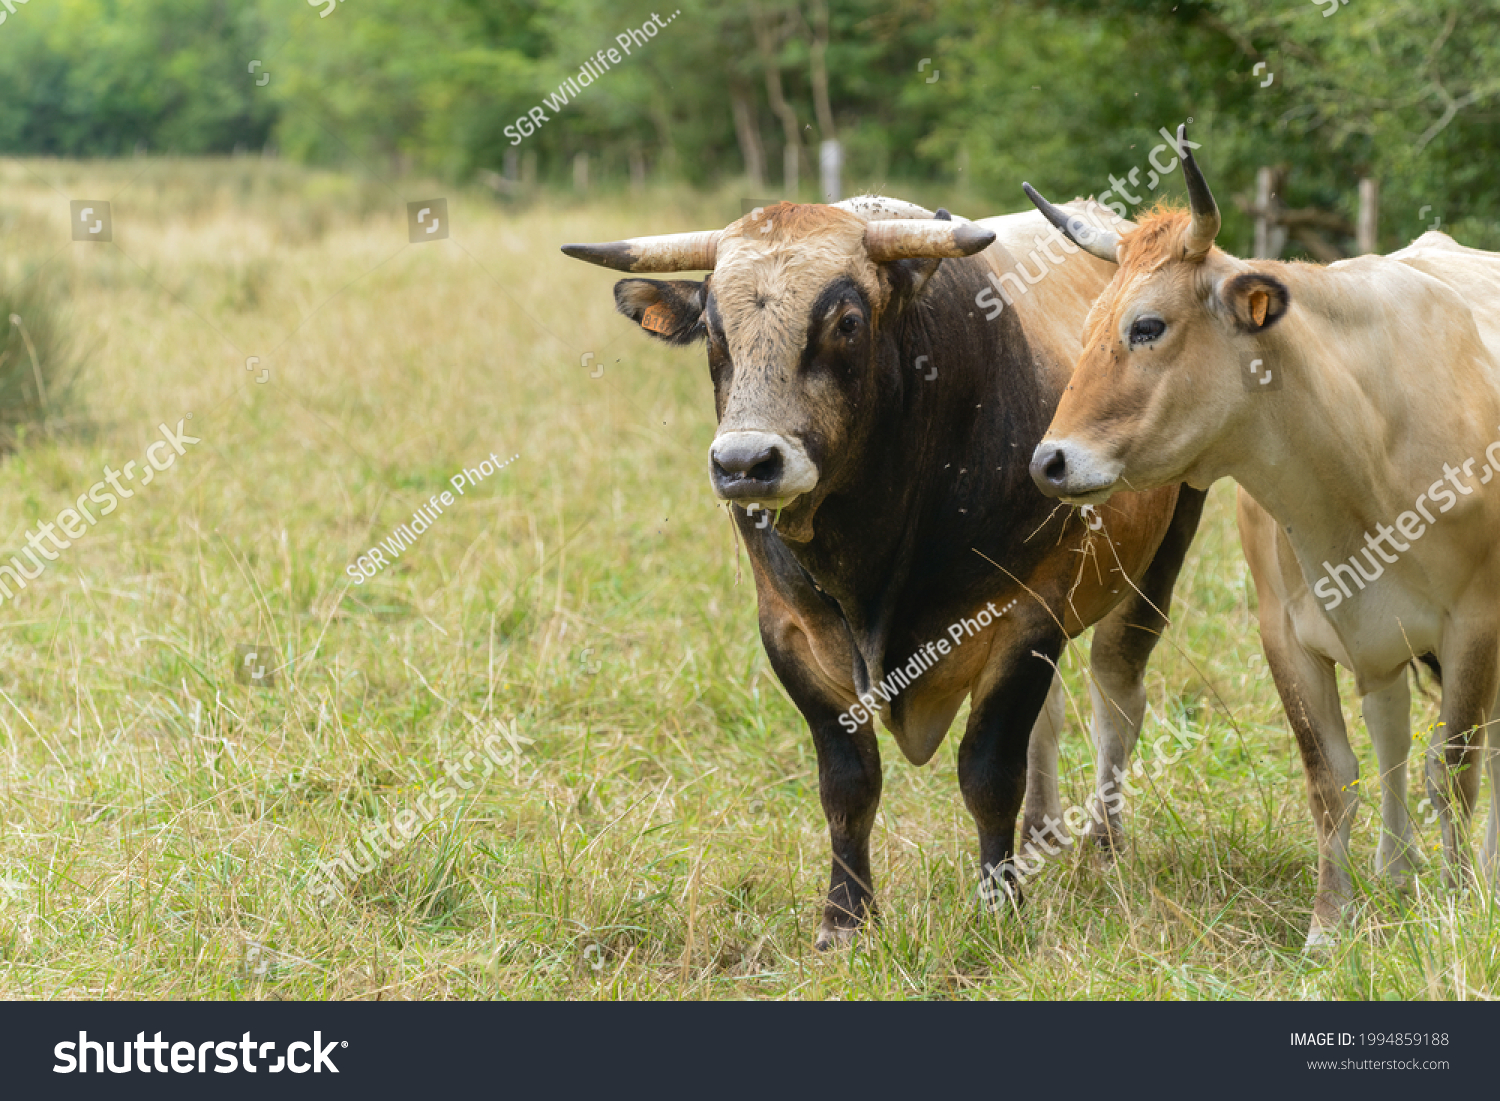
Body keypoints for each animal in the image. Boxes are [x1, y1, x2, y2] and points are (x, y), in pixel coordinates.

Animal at [1026, 125, 1500, 942]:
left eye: (1147, 326)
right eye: (1085, 329)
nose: (1048, 461)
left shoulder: (1474, 622)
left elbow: (1455, 768)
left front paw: (1461, 902)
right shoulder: (1288, 632)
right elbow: (1333, 777)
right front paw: (1329, 923)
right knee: (1390, 732)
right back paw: (1394, 869)